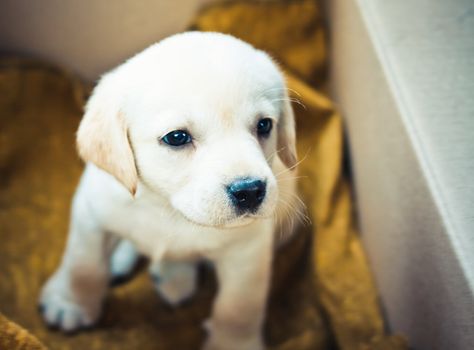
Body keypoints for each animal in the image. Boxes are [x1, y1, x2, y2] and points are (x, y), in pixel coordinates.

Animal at [39, 32, 300, 350]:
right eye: (176, 137)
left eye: (264, 125)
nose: (250, 191)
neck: (167, 207)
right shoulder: (91, 212)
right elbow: (83, 264)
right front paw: (71, 302)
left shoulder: (248, 250)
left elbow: (239, 306)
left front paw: (234, 342)